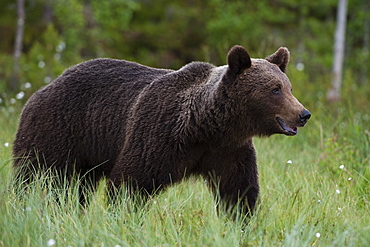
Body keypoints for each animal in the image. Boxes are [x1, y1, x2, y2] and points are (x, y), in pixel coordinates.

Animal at [13, 45, 310, 213]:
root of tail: (46, 85)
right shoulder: (159, 136)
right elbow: (130, 184)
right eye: (275, 89)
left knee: (77, 187)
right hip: (56, 130)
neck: (206, 127)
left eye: (289, 87)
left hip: (88, 152)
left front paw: (239, 219)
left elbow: (237, 190)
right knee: (32, 174)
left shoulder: (228, 150)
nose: (303, 114)